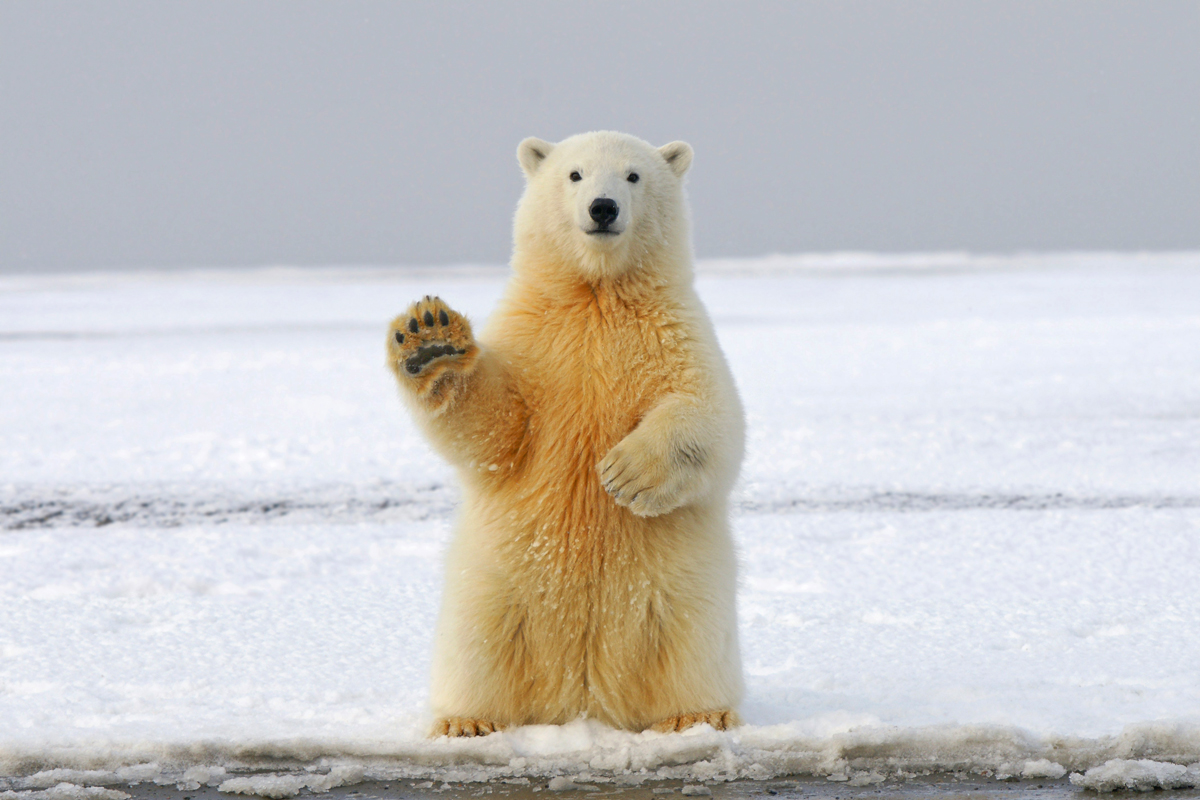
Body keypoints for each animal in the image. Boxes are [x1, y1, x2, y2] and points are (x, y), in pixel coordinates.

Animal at [386, 131, 745, 736]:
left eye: (633, 176)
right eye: (574, 174)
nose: (603, 208)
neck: (596, 293)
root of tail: (583, 699)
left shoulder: (675, 332)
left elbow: (711, 416)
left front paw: (625, 473)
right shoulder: (535, 340)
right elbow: (497, 430)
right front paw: (430, 339)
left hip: (681, 591)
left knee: (689, 644)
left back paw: (699, 715)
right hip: (495, 586)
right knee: (478, 646)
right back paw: (467, 721)